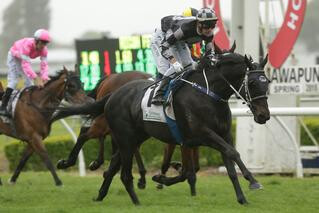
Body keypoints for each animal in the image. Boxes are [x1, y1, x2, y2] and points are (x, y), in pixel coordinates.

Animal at [94, 52, 272, 205]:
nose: (264, 115)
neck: (208, 94)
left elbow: (229, 168)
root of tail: (112, 95)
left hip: (134, 138)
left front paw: (242, 198)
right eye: (252, 83)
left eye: (268, 82)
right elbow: (231, 153)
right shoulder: (202, 135)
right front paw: (253, 181)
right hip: (125, 138)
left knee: (114, 164)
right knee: (124, 174)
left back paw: (100, 195)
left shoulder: (223, 134)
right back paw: (136, 202)